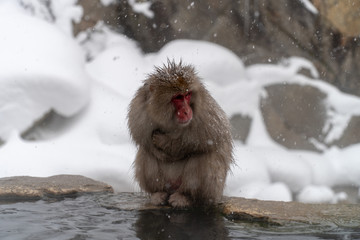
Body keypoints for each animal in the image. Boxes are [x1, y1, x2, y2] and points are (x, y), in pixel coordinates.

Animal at [126, 60, 233, 208]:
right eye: (177, 97)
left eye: (187, 95)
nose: (187, 111)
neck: (169, 119)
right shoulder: (140, 109)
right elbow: (142, 138)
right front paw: (158, 148)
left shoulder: (205, 111)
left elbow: (214, 136)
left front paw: (165, 142)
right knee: (146, 154)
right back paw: (158, 194)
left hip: (211, 189)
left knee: (205, 155)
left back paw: (186, 197)